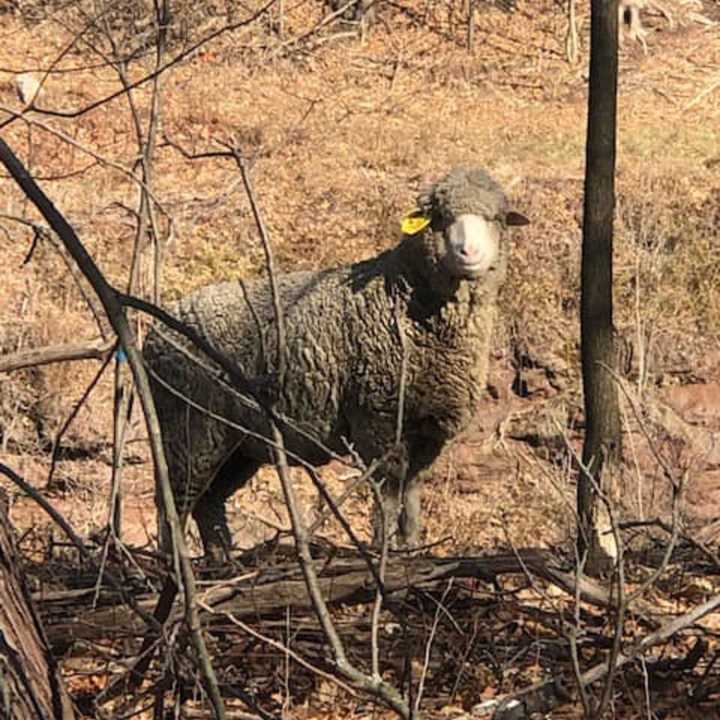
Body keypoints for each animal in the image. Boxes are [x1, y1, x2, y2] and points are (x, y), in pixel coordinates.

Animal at [145, 166, 528, 560]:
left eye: (496, 218)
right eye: (440, 217)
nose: (469, 252)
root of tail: (159, 328)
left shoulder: (428, 428)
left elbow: (412, 495)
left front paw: (411, 549)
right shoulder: (378, 419)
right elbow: (387, 495)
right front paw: (382, 552)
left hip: (237, 442)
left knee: (209, 502)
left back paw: (220, 562)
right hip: (189, 426)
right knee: (173, 502)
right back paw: (174, 563)